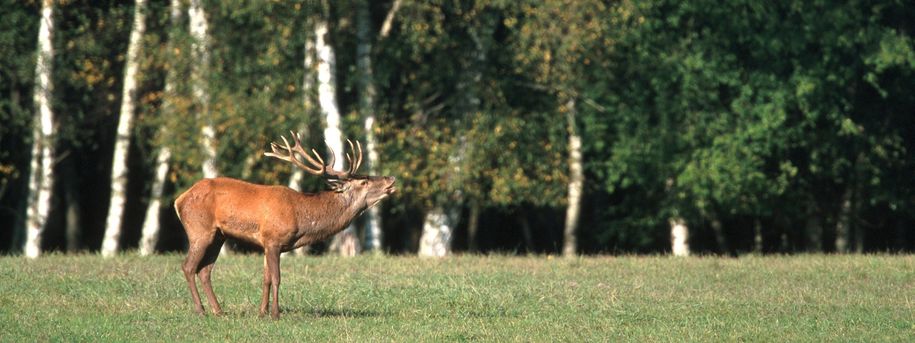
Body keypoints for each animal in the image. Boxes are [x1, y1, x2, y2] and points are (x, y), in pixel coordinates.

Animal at [174, 132, 396, 320]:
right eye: (364, 182)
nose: (391, 178)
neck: (302, 218)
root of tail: (179, 200)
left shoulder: (268, 244)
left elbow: (266, 279)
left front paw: (262, 313)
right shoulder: (273, 239)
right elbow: (277, 278)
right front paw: (275, 314)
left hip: (219, 236)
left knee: (205, 270)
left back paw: (218, 311)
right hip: (199, 230)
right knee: (188, 266)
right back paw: (201, 310)